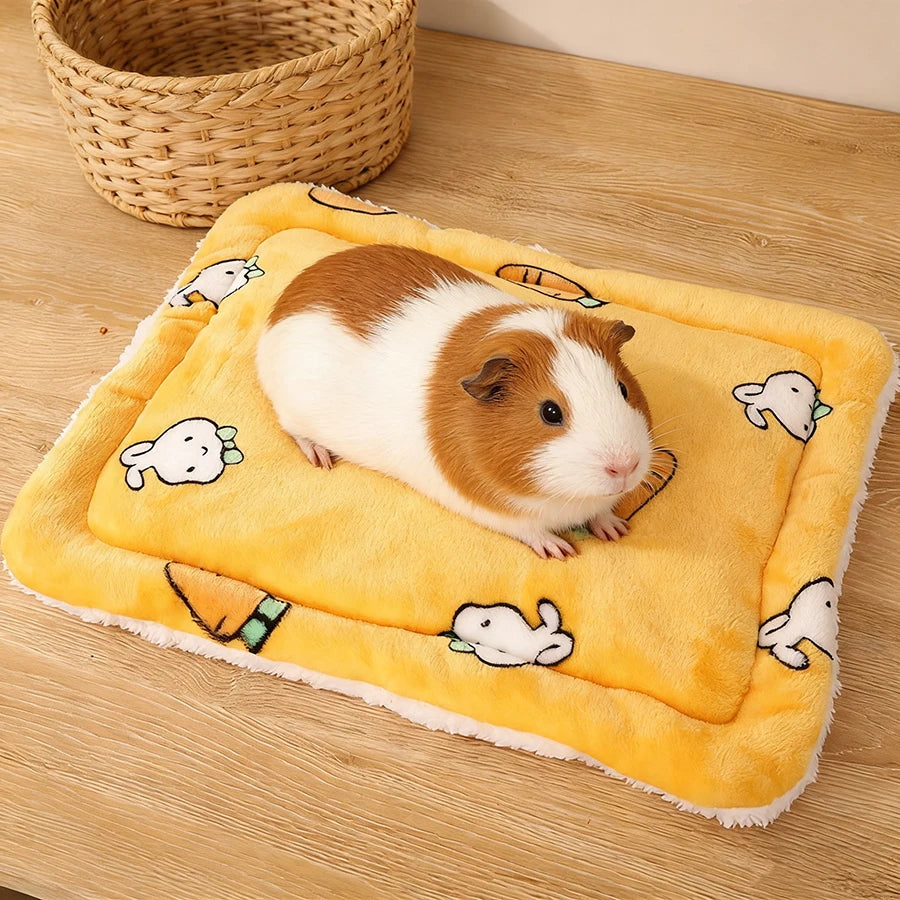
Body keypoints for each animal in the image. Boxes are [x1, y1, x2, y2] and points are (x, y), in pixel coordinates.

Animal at [256, 245, 653, 559]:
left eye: (622, 389)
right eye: (550, 412)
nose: (625, 467)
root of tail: (280, 308)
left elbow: (601, 513)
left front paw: (616, 529)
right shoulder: (494, 512)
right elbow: (530, 531)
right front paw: (561, 551)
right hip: (292, 413)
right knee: (294, 432)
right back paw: (321, 458)